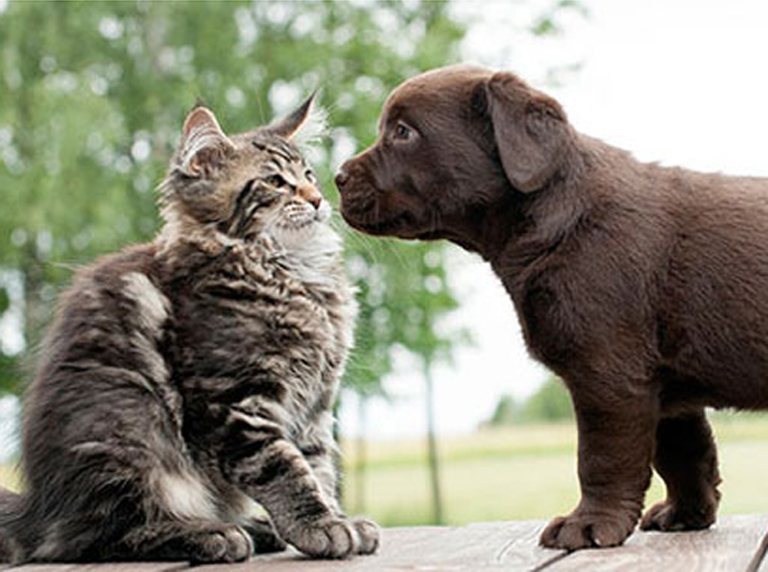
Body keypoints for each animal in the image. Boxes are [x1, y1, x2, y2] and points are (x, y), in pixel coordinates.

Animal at [0, 95, 380, 564]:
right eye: (275, 182)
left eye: (308, 175)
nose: (317, 199)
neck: (290, 271)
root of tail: (36, 512)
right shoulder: (235, 403)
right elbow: (285, 470)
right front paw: (320, 527)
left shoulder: (314, 407)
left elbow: (319, 467)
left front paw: (334, 518)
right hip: (128, 425)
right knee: (98, 537)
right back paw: (211, 533)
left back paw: (256, 528)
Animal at [334, 65, 768, 552]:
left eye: (403, 132)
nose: (336, 176)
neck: (552, 215)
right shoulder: (663, 383)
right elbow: (683, 452)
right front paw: (686, 515)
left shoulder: (608, 372)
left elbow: (601, 457)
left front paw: (588, 525)